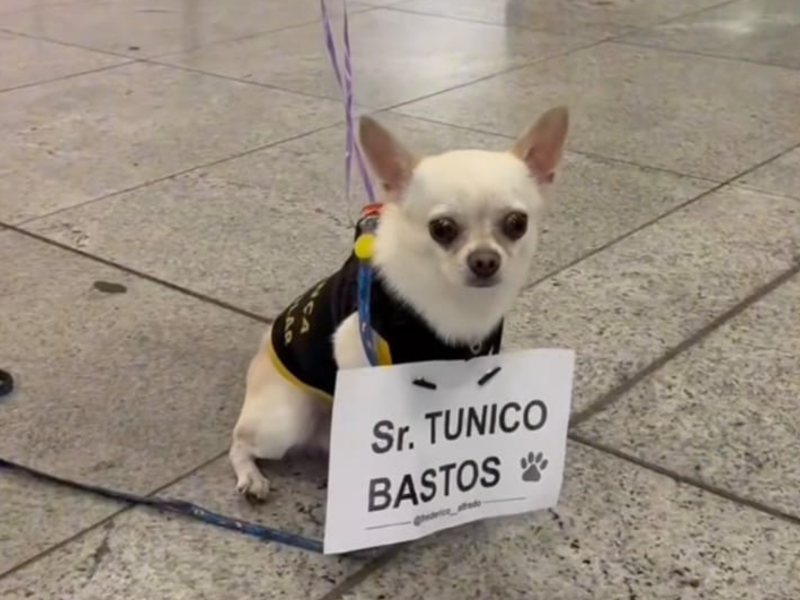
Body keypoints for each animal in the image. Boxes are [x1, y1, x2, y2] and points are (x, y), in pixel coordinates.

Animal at [230, 105, 568, 500]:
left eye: (517, 223)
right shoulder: (358, 352)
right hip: (284, 421)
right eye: (442, 228)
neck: (455, 301)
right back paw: (251, 477)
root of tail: (261, 350)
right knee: (239, 441)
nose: (485, 260)